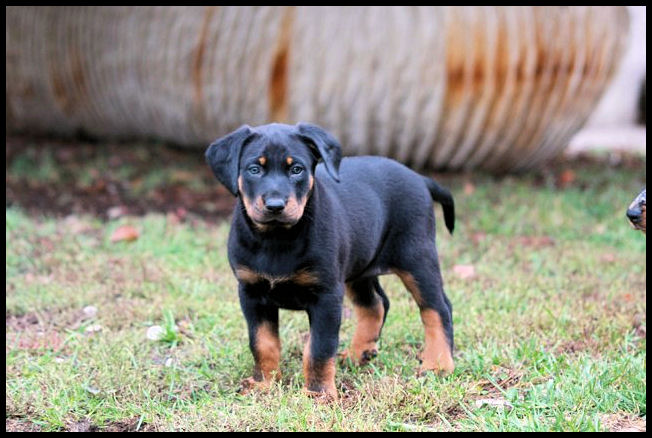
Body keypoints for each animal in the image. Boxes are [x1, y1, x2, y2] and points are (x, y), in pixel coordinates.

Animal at [206, 123, 456, 400]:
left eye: (297, 169)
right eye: (254, 169)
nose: (275, 206)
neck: (277, 239)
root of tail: (419, 178)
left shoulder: (326, 295)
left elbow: (319, 348)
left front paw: (318, 394)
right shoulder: (252, 293)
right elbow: (262, 342)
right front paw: (264, 384)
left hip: (417, 257)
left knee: (437, 308)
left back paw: (438, 364)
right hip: (359, 268)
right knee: (375, 304)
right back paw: (359, 353)